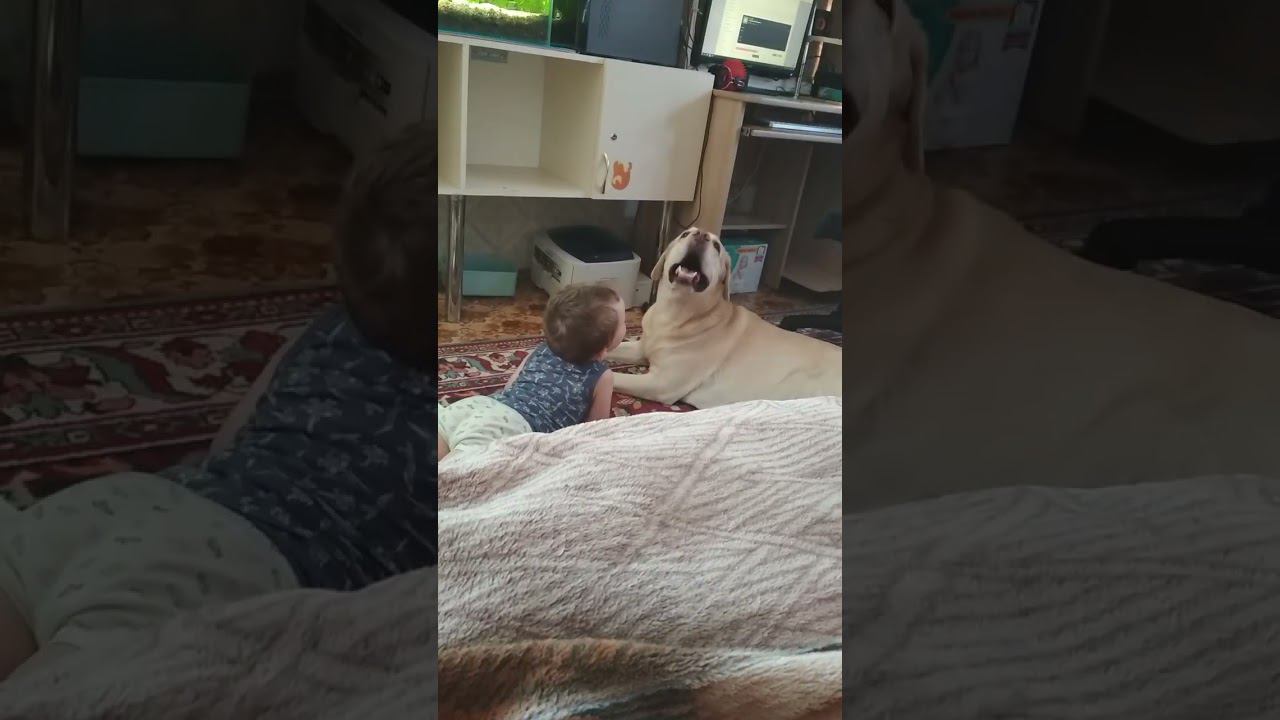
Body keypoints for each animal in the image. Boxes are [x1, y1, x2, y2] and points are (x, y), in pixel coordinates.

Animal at [609, 227, 841, 408]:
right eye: (685, 234)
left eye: (716, 246)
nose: (701, 235)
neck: (675, 313)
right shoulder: (641, 348)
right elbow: (616, 348)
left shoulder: (660, 383)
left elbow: (615, 376)